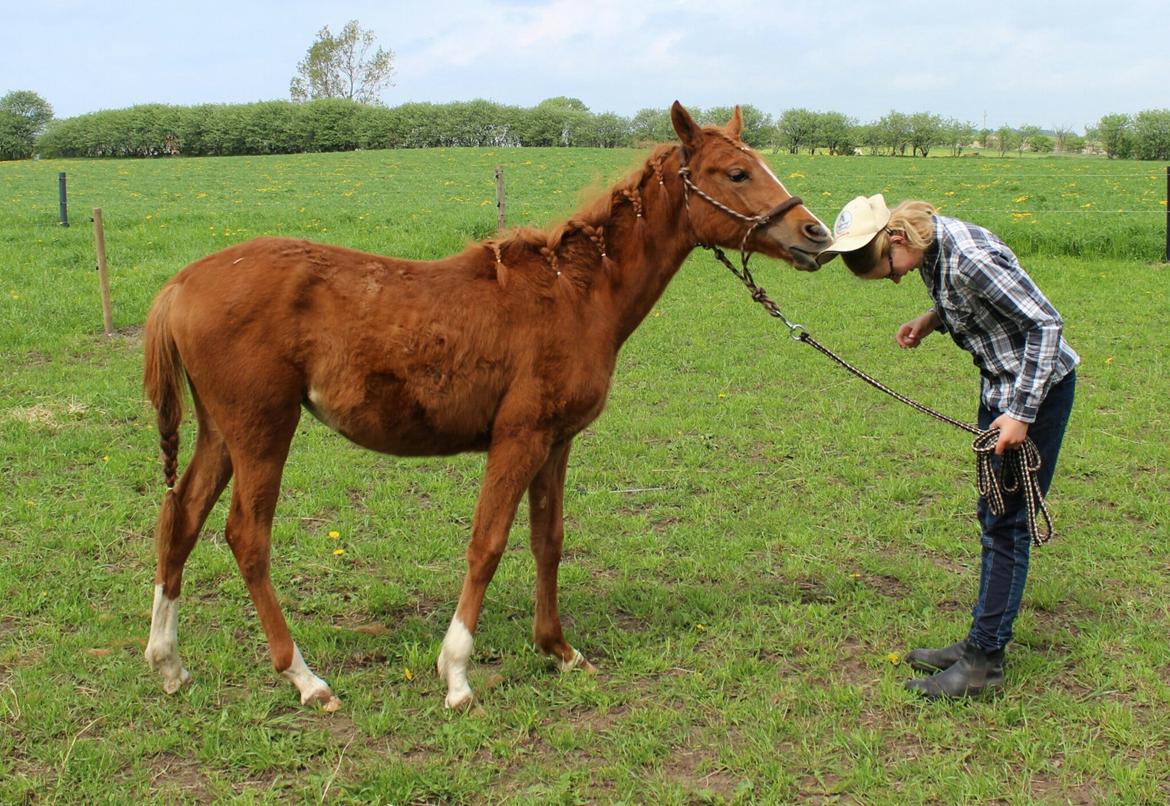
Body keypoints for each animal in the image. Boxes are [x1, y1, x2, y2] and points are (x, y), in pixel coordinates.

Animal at [143, 102, 833, 711]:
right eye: (735, 172)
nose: (816, 234)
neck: (576, 296)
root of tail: (179, 284)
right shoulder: (519, 437)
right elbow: (488, 544)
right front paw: (456, 675)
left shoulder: (557, 440)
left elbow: (547, 540)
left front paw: (559, 650)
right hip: (262, 428)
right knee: (246, 536)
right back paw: (305, 679)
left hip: (222, 431)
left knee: (181, 514)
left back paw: (169, 665)